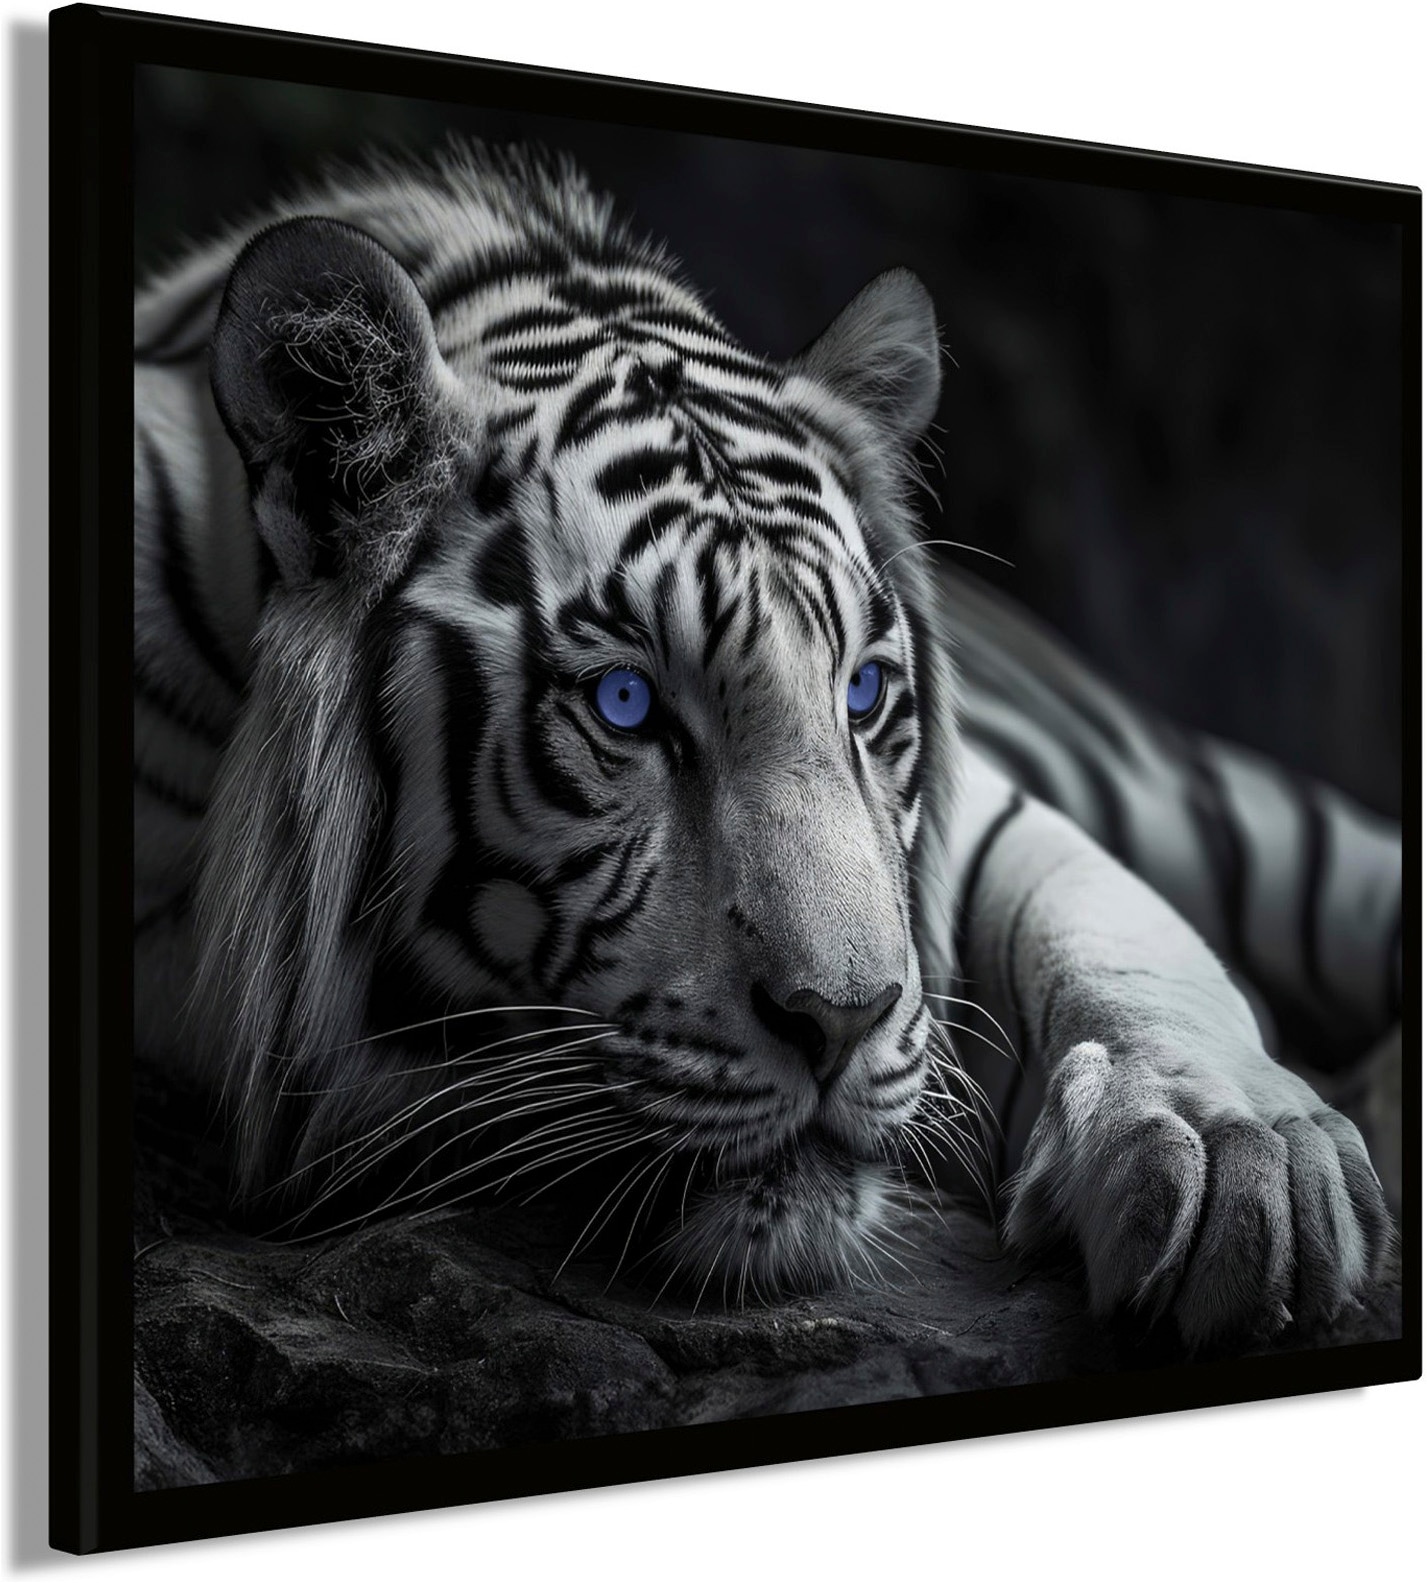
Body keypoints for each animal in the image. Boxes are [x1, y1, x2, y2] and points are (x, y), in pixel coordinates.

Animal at [133, 142, 1401, 1348]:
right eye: (626, 704)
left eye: (863, 691)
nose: (838, 1021)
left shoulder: (980, 827)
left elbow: (1115, 929)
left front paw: (1238, 1155)